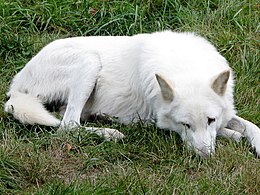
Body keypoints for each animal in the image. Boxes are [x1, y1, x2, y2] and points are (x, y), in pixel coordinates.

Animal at [4, 31, 260, 158]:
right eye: (185, 125)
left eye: (210, 120)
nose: (205, 156)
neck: (186, 67)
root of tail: (16, 83)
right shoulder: (158, 119)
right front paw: (233, 135)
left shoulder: (226, 114)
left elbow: (251, 126)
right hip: (90, 61)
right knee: (68, 125)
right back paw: (111, 133)